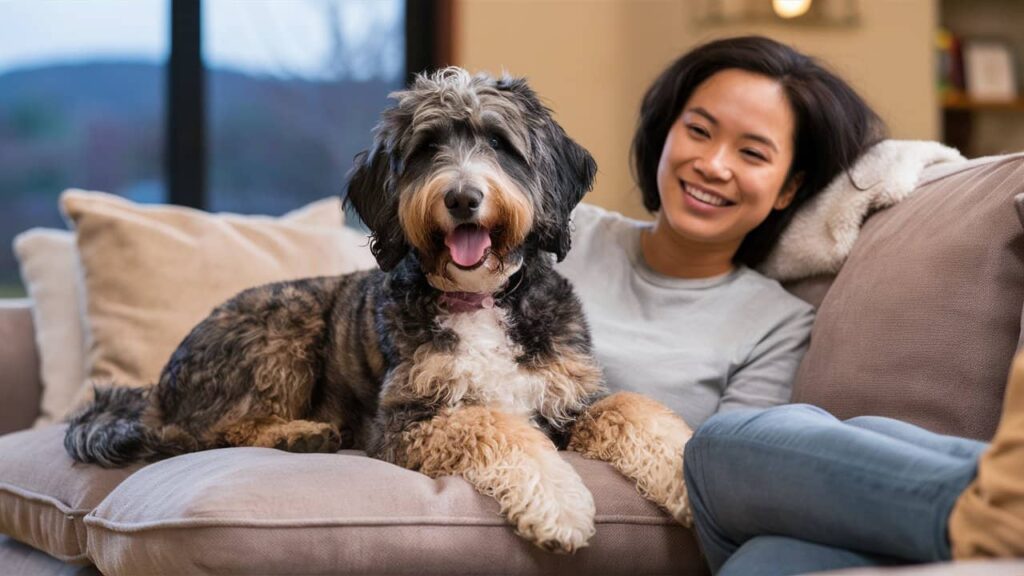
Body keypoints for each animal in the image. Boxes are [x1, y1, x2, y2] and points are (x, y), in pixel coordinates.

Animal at [66, 68, 696, 553]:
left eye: (499, 143)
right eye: (426, 149)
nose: (462, 197)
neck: (481, 298)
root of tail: (156, 391)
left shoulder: (569, 395)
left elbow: (631, 409)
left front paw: (688, 478)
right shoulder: (406, 421)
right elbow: (497, 426)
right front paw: (558, 505)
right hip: (282, 330)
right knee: (207, 430)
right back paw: (300, 434)